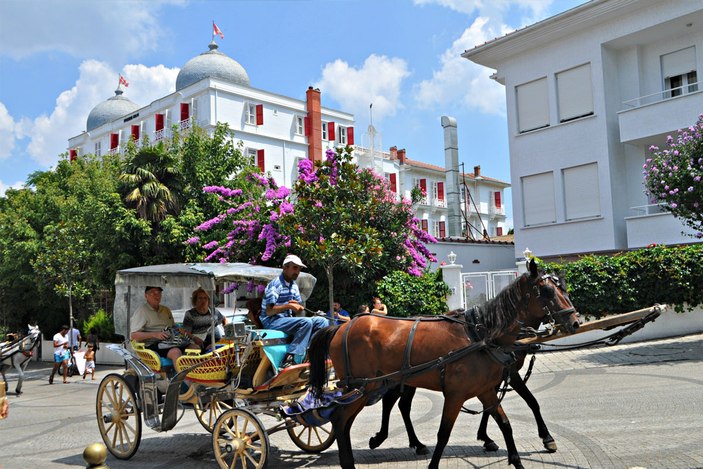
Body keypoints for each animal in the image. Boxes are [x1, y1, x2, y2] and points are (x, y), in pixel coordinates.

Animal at [310, 260, 580, 468]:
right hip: (362, 387)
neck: (481, 335)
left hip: (379, 384)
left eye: (564, 289)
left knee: (373, 413)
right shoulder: (457, 394)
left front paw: (512, 456)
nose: (575, 322)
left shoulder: (486, 389)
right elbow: (444, 434)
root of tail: (341, 327)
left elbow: (505, 424)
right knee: (341, 419)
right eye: (547, 292)